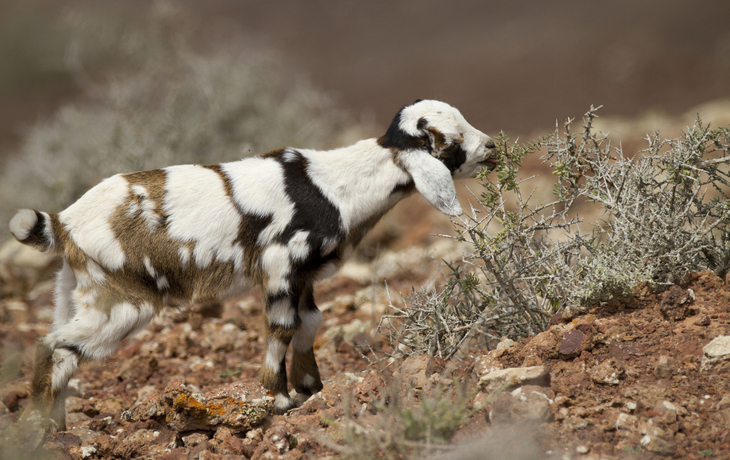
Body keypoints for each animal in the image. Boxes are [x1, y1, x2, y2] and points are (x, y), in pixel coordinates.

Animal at [9, 99, 497, 430]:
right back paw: (41, 429)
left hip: (75, 294)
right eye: (449, 141)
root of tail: (64, 222)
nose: (493, 146)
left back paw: (56, 427)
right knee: (52, 346)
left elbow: (311, 323)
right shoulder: (281, 266)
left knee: (59, 351)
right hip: (125, 306)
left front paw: (311, 388)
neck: (335, 185)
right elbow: (282, 328)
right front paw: (278, 399)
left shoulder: (305, 278)